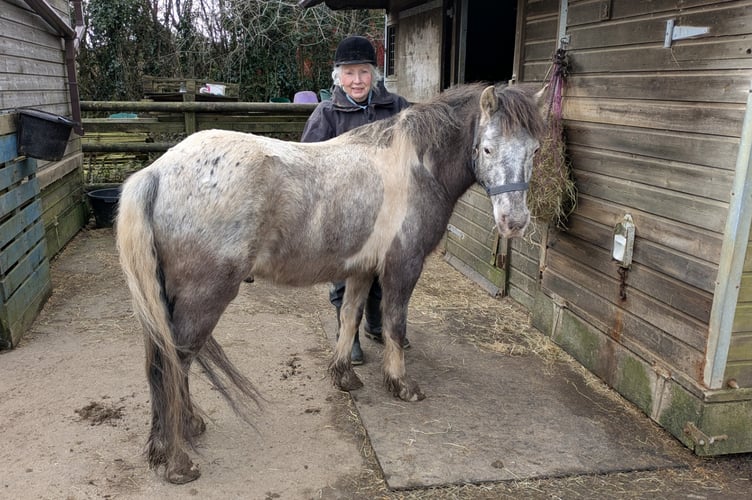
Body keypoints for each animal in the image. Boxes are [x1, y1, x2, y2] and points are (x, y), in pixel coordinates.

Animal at [116, 82, 543, 483]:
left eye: (535, 150)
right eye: (487, 149)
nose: (514, 222)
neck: (414, 167)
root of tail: (156, 173)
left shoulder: (361, 269)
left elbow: (350, 316)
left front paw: (345, 375)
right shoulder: (402, 267)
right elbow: (394, 324)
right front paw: (401, 385)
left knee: (173, 363)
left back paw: (188, 427)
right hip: (204, 297)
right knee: (171, 366)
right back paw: (175, 461)